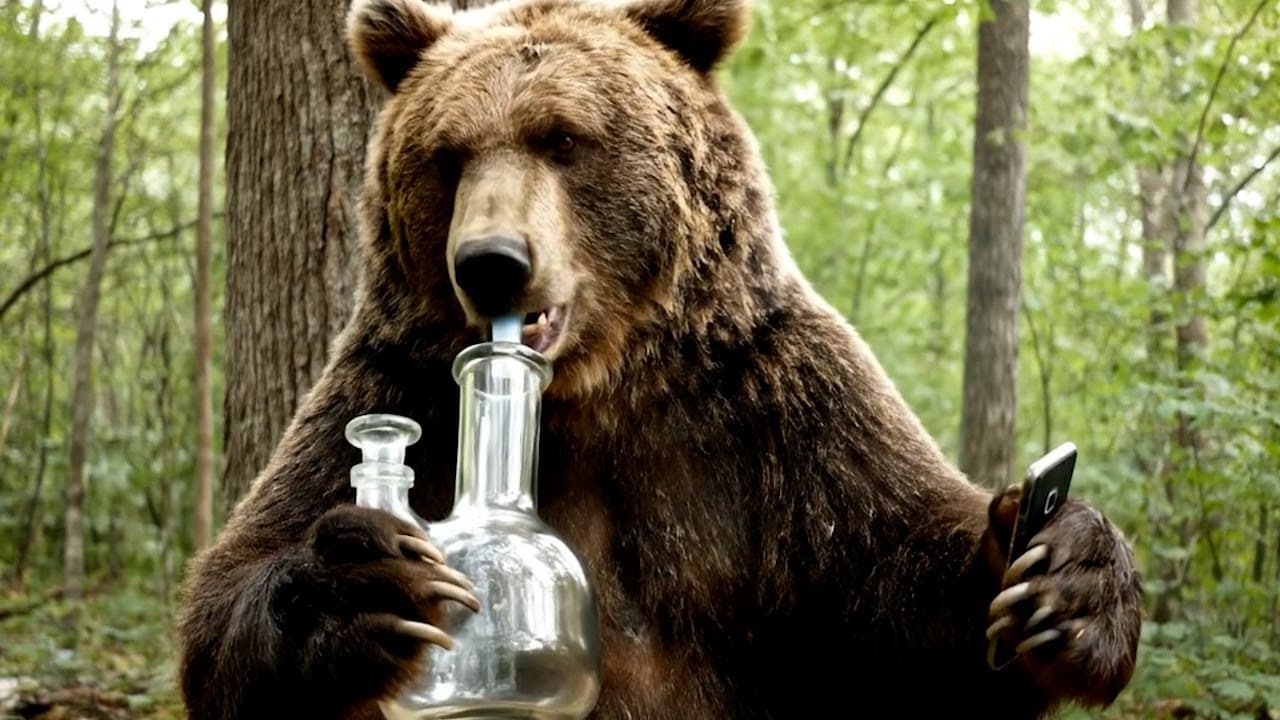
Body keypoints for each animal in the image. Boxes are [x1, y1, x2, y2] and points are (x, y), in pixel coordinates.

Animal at [175, 0, 1144, 717]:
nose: (490, 262)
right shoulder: (390, 378)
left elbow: (892, 598)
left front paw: (1066, 575)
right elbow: (227, 610)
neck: (592, 384)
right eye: (446, 155)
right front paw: (359, 582)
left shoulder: (772, 404)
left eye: (563, 138)